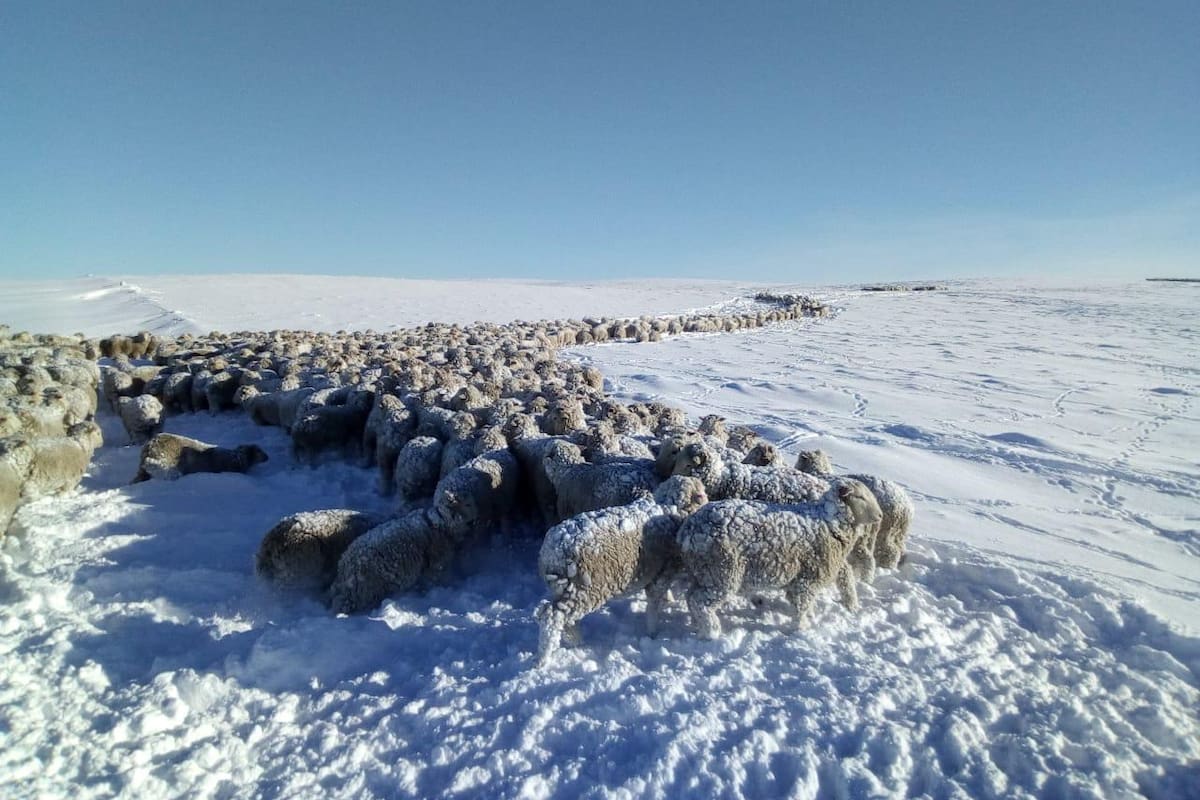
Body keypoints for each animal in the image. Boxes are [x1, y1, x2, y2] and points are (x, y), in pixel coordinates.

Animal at [535, 475, 709, 664]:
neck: (670, 506)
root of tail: (552, 552)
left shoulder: (659, 570)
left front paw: (668, 600)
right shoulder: (664, 570)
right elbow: (653, 602)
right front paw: (652, 632)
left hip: (564, 589)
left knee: (557, 615)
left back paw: (574, 640)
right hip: (584, 589)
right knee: (552, 618)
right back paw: (545, 656)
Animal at [675, 479, 883, 639]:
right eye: (860, 497)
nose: (880, 515)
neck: (830, 522)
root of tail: (688, 529)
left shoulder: (801, 577)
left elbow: (801, 603)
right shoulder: (807, 579)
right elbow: (802, 605)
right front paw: (801, 629)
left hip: (703, 572)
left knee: (690, 597)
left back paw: (698, 626)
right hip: (722, 573)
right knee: (700, 602)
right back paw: (712, 631)